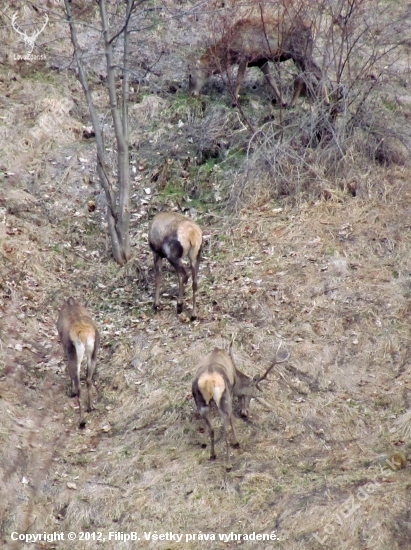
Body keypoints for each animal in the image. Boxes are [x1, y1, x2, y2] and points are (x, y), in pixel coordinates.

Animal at [57, 298, 100, 432]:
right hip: (94, 352)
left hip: (74, 355)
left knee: (79, 385)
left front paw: (71, 392)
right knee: (88, 379)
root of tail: (84, 334)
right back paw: (90, 407)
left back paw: (82, 421)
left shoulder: (65, 349)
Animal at [191, 16, 332, 108]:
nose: (192, 93)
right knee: (315, 73)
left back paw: (300, 103)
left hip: (301, 53)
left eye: (190, 75)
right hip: (300, 55)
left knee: (309, 74)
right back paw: (323, 101)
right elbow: (271, 81)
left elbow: (239, 79)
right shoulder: (261, 61)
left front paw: (234, 102)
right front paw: (282, 101)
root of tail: (314, 27)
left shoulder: (245, 56)